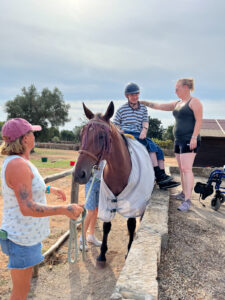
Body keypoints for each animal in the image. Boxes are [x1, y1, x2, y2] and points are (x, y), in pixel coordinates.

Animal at [73, 102, 148, 266]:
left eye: (101, 136)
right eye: (81, 134)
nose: (78, 174)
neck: (120, 170)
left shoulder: (133, 202)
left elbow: (131, 224)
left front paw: (129, 250)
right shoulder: (107, 199)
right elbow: (106, 226)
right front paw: (102, 255)